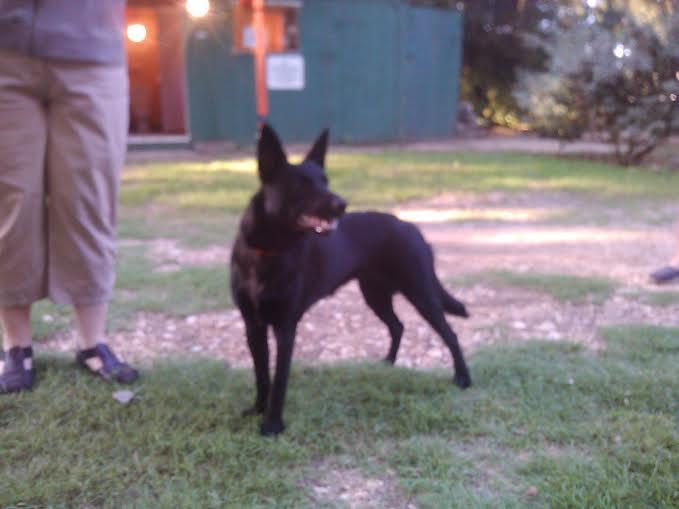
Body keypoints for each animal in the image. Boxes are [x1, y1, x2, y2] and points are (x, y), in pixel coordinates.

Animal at [231, 125, 470, 434]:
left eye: (325, 181)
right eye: (302, 184)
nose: (342, 205)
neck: (268, 252)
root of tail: (411, 227)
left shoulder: (286, 328)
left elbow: (279, 380)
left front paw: (272, 425)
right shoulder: (253, 326)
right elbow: (262, 375)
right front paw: (258, 409)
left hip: (421, 295)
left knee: (449, 334)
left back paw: (463, 378)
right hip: (375, 296)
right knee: (398, 326)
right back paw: (387, 363)